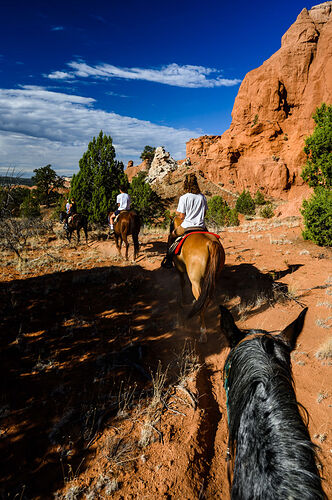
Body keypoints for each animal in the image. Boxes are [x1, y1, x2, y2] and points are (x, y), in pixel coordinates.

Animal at [171, 216, 226, 344]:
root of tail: (210, 243)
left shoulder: (180, 269)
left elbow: (182, 283)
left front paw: (184, 301)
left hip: (195, 282)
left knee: (201, 300)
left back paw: (202, 331)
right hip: (213, 278)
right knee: (206, 299)